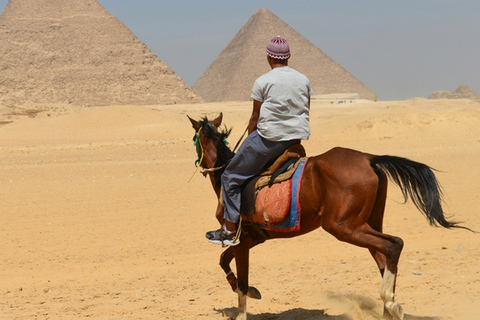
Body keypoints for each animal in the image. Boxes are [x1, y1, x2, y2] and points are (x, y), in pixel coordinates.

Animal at [187, 114, 468, 320]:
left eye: (193, 138)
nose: (199, 165)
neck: (225, 174)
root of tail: (369, 159)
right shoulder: (254, 238)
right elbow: (224, 261)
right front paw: (250, 290)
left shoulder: (241, 238)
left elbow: (240, 279)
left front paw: (244, 304)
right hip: (367, 223)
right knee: (384, 254)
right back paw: (389, 307)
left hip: (343, 227)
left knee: (393, 244)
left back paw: (389, 301)